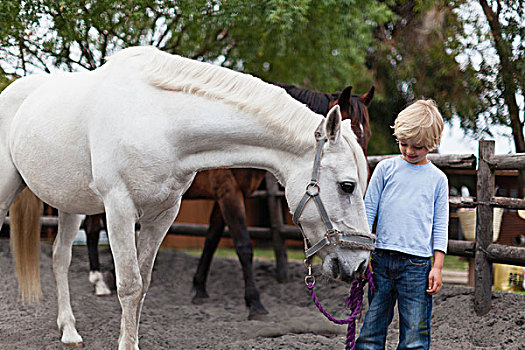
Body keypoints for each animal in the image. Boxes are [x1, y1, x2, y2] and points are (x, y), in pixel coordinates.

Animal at [85, 83, 372, 318]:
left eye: (365, 137)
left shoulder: (226, 198)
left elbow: (212, 240)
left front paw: (199, 288)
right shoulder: (229, 194)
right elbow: (243, 245)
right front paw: (255, 304)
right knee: (92, 229)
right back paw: (99, 281)